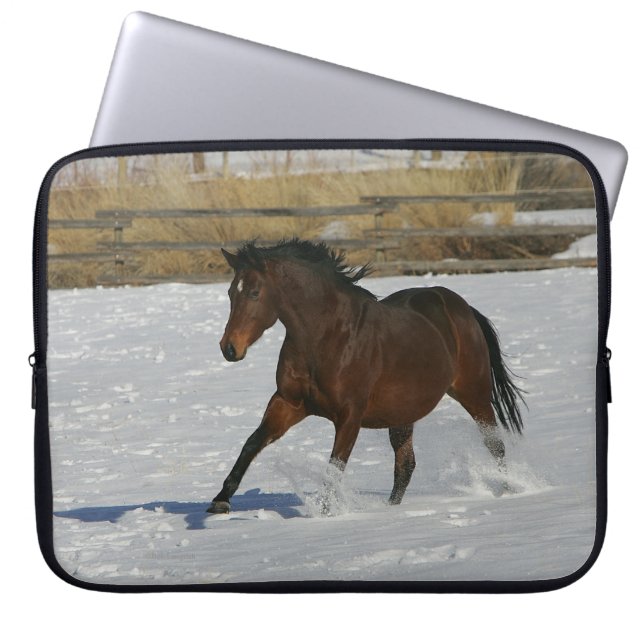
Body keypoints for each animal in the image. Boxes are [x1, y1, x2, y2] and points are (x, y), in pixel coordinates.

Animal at [207, 239, 525, 514]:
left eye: (254, 293)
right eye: (230, 292)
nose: (229, 348)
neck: (326, 336)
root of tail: (462, 308)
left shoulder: (350, 416)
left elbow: (334, 467)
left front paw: (325, 513)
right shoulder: (288, 403)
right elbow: (252, 443)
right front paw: (220, 501)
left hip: (474, 394)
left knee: (495, 445)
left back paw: (508, 490)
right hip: (403, 413)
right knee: (405, 465)